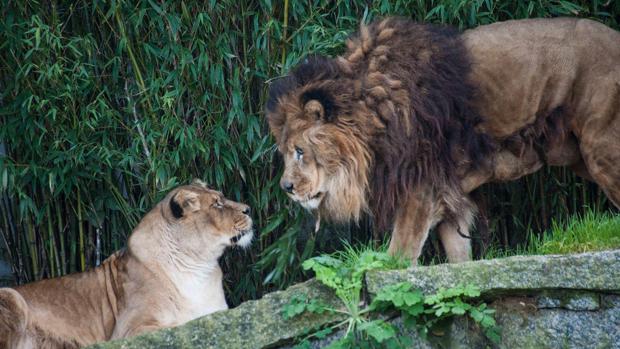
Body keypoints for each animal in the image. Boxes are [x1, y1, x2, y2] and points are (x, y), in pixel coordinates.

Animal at [0, 181, 253, 346]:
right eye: (217, 204)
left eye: (222, 197)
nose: (249, 209)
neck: (199, 265)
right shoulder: (129, 330)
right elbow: (181, 326)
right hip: (12, 297)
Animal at [268, 16, 620, 260]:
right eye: (284, 152)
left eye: (299, 150)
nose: (286, 188)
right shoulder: (451, 199)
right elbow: (459, 261)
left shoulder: (421, 191)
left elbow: (398, 256)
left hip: (602, 149)